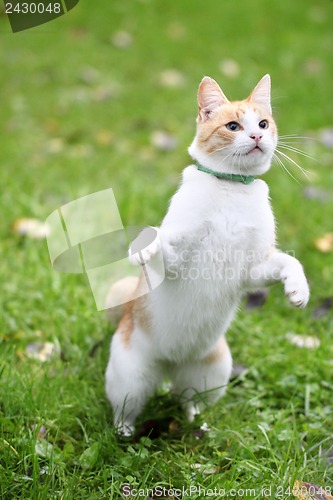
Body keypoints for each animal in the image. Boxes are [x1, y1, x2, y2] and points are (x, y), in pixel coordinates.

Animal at [104, 75, 308, 438]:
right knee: (125, 410)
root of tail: (169, 365)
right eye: (233, 126)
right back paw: (125, 433)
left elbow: (290, 262)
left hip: (211, 372)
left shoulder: (253, 270)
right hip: (129, 379)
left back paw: (196, 422)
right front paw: (143, 246)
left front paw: (298, 289)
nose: (256, 136)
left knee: (187, 399)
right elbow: (156, 237)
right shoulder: (177, 258)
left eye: (263, 123)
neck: (232, 188)